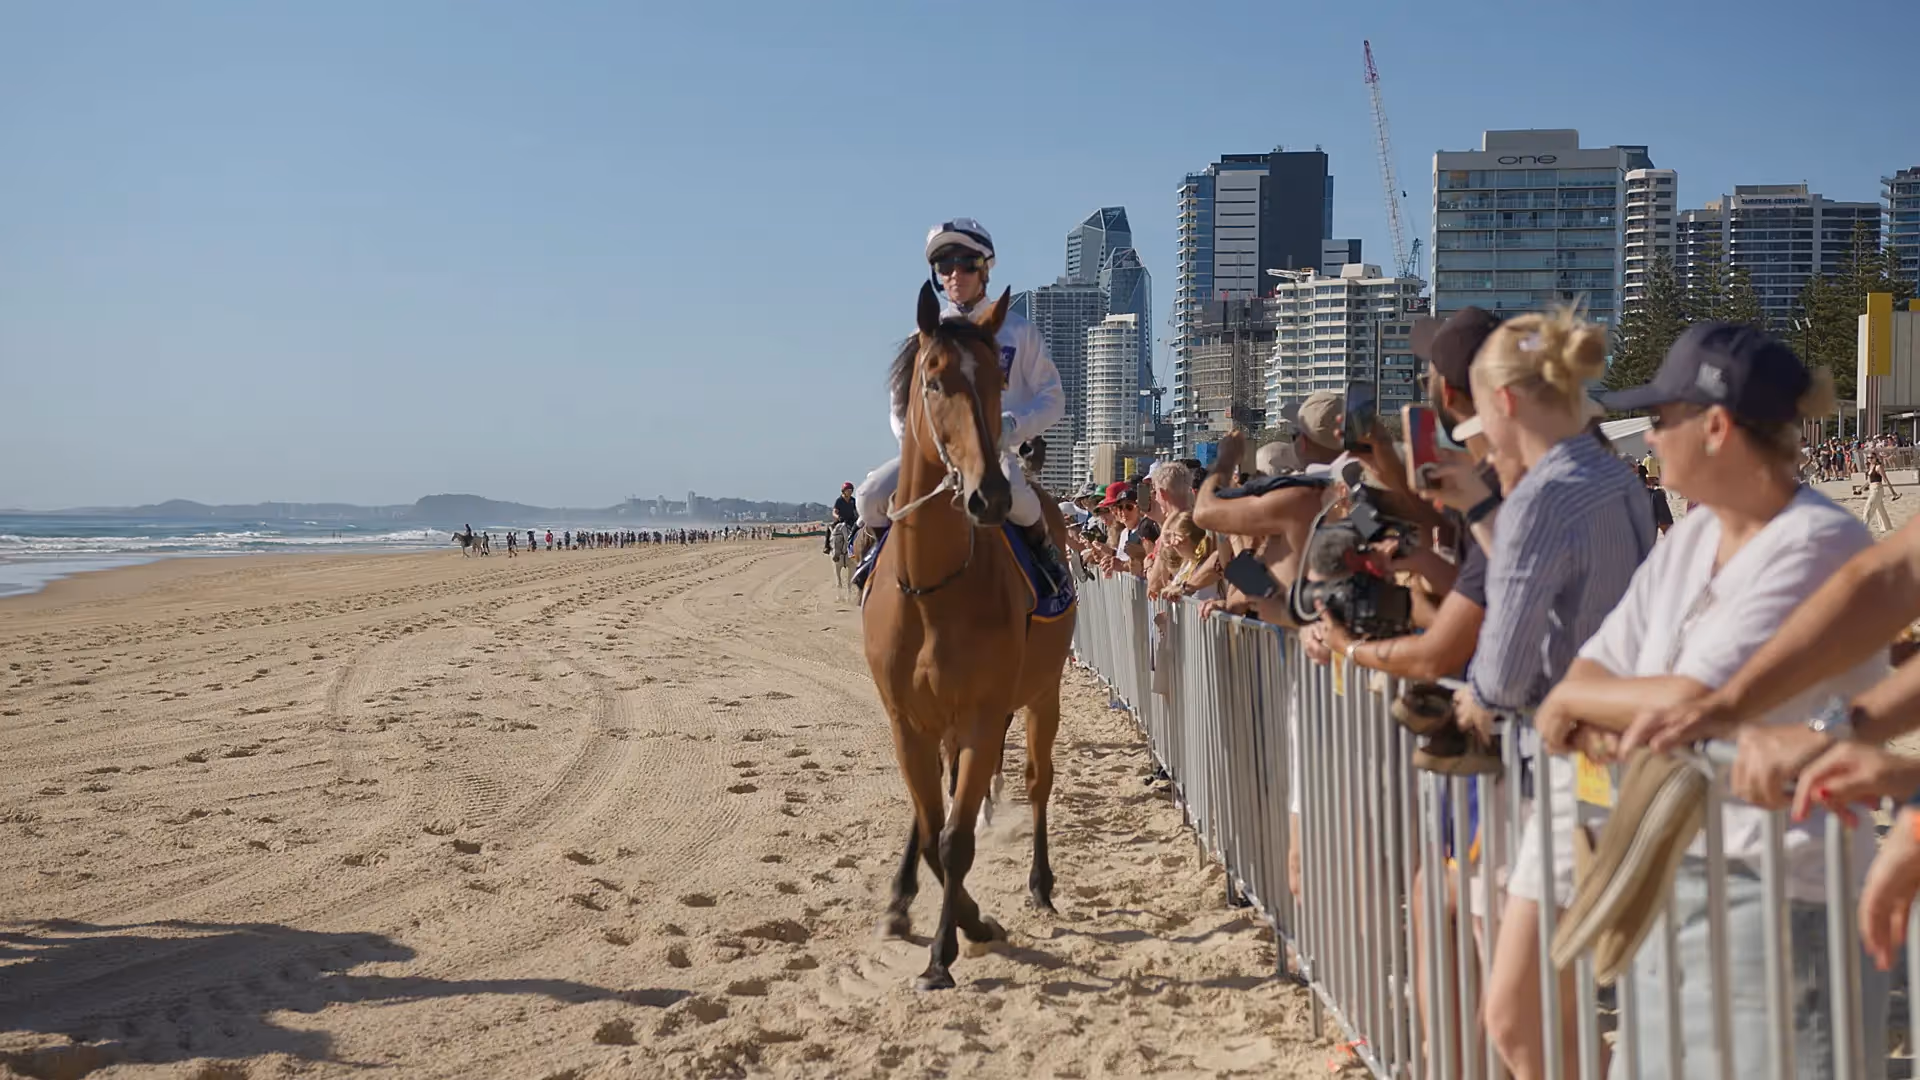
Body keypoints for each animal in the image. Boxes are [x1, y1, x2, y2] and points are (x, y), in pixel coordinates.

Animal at [862, 282, 1076, 991]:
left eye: (997, 382)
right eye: (931, 380)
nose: (990, 495)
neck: (933, 590)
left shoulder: (985, 713)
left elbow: (957, 838)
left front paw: (949, 947)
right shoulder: (907, 719)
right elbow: (934, 829)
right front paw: (952, 920)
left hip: (1043, 694)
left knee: (1037, 779)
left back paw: (1040, 883)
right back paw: (902, 898)